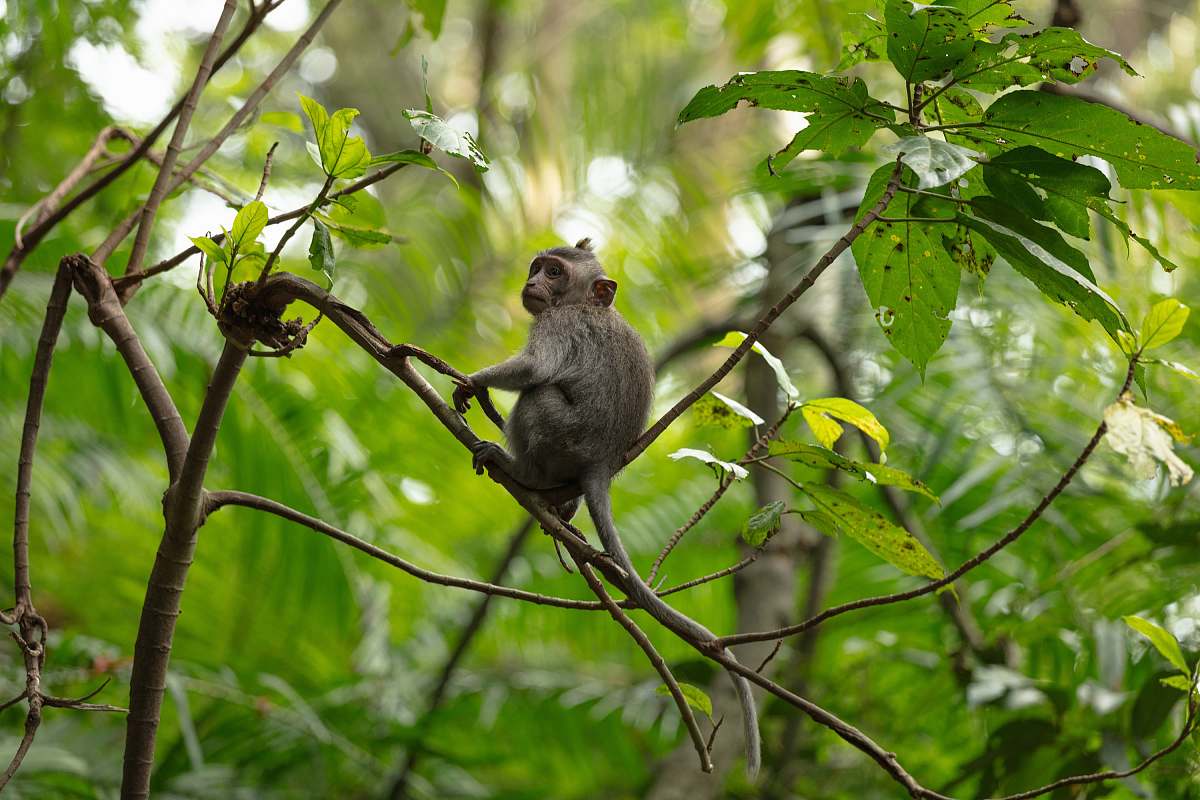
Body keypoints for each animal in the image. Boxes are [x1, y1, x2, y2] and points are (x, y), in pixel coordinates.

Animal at [453, 237, 763, 777]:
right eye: (537, 267)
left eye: (554, 272)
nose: (531, 282)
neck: (588, 305)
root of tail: (599, 462)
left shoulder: (560, 324)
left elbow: (535, 370)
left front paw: (474, 382)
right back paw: (561, 502)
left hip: (563, 437)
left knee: (538, 397)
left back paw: (524, 473)